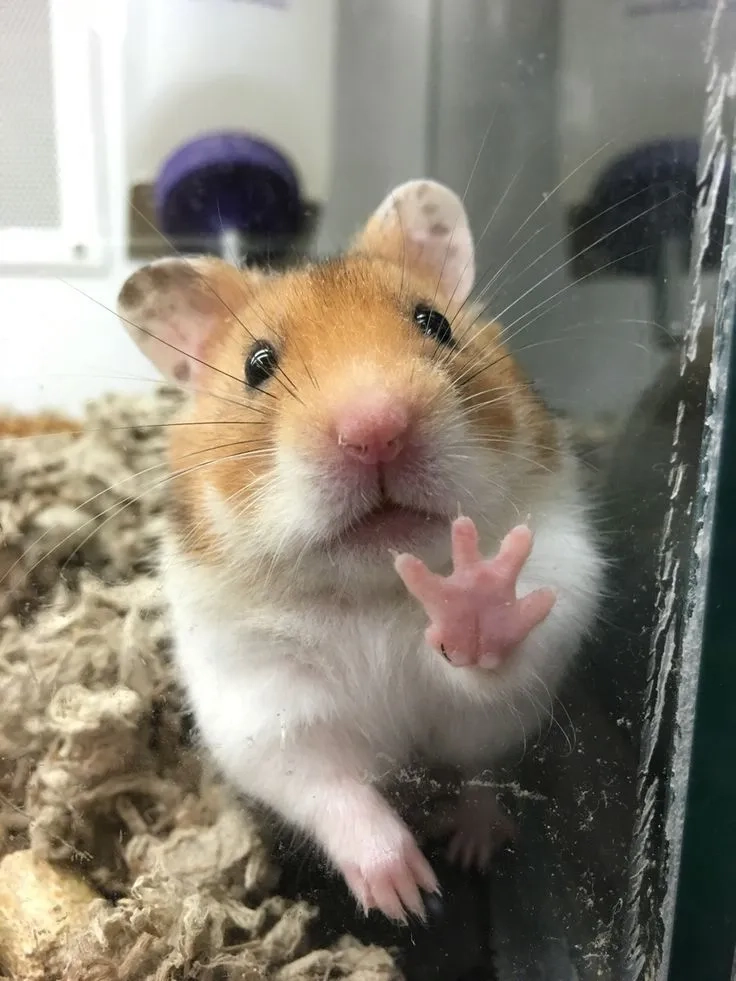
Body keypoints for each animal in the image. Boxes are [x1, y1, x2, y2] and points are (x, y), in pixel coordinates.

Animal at [117, 179, 603, 923]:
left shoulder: (544, 614)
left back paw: (474, 844)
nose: (375, 428)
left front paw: (472, 590)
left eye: (435, 323)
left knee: (481, 776)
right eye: (258, 364)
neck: (375, 586)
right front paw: (408, 896)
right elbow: (331, 787)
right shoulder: (263, 707)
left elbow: (488, 680)